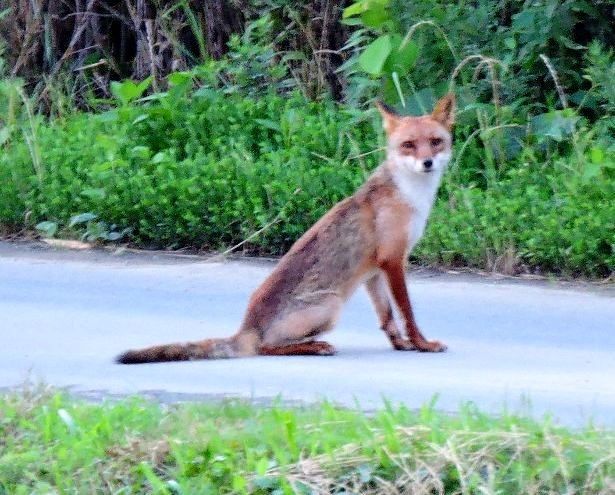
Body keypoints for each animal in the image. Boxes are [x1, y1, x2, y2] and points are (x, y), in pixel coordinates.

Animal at [118, 93, 458, 364]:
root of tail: (247, 327)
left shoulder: (375, 270)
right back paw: (315, 347)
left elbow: (387, 317)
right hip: (331, 305)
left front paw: (401, 345)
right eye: (409, 145)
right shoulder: (393, 259)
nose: (427, 163)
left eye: (435, 142)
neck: (410, 196)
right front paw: (422, 344)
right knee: (265, 349)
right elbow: (407, 312)